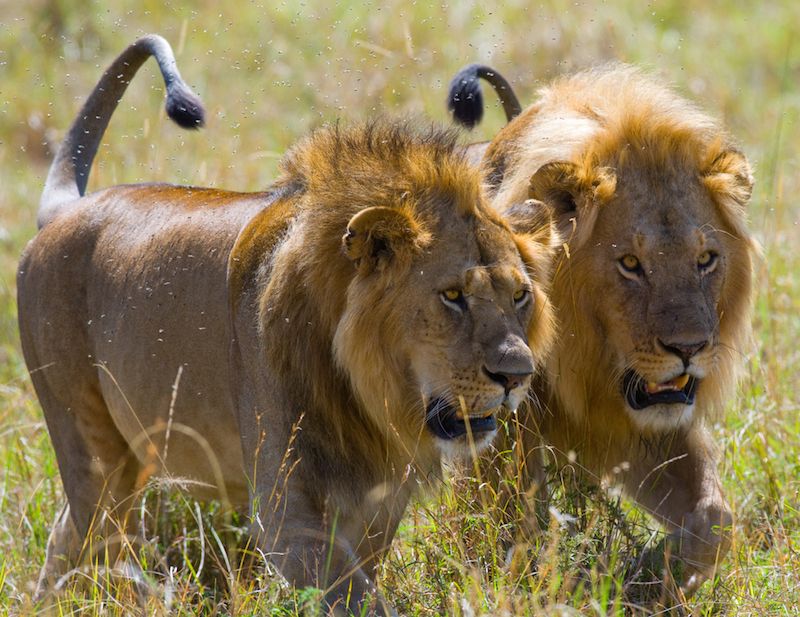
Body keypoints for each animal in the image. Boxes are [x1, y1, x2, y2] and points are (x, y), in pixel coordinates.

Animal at [17, 36, 556, 612]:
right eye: (452, 296)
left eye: (519, 296)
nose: (516, 376)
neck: (371, 395)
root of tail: (65, 211)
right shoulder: (286, 512)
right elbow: (355, 598)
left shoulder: (378, 505)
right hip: (93, 452)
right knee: (100, 538)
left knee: (66, 541)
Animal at [446, 63, 760, 592]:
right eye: (630, 264)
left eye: (706, 260)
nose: (690, 348)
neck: (582, 365)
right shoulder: (498, 427)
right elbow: (510, 528)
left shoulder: (643, 422)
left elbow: (715, 520)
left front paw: (654, 572)